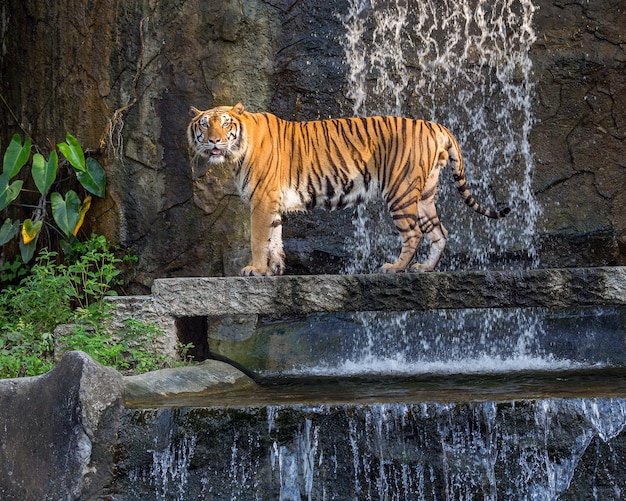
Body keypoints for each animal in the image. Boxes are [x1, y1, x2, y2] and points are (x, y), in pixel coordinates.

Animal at [185, 103, 508, 276]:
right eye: (205, 124)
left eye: (226, 124)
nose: (214, 141)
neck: (235, 155)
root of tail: (434, 125)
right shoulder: (272, 204)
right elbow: (274, 239)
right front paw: (274, 270)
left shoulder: (262, 201)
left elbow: (257, 239)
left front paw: (255, 270)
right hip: (425, 194)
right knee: (440, 232)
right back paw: (425, 268)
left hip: (401, 191)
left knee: (415, 233)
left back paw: (394, 268)